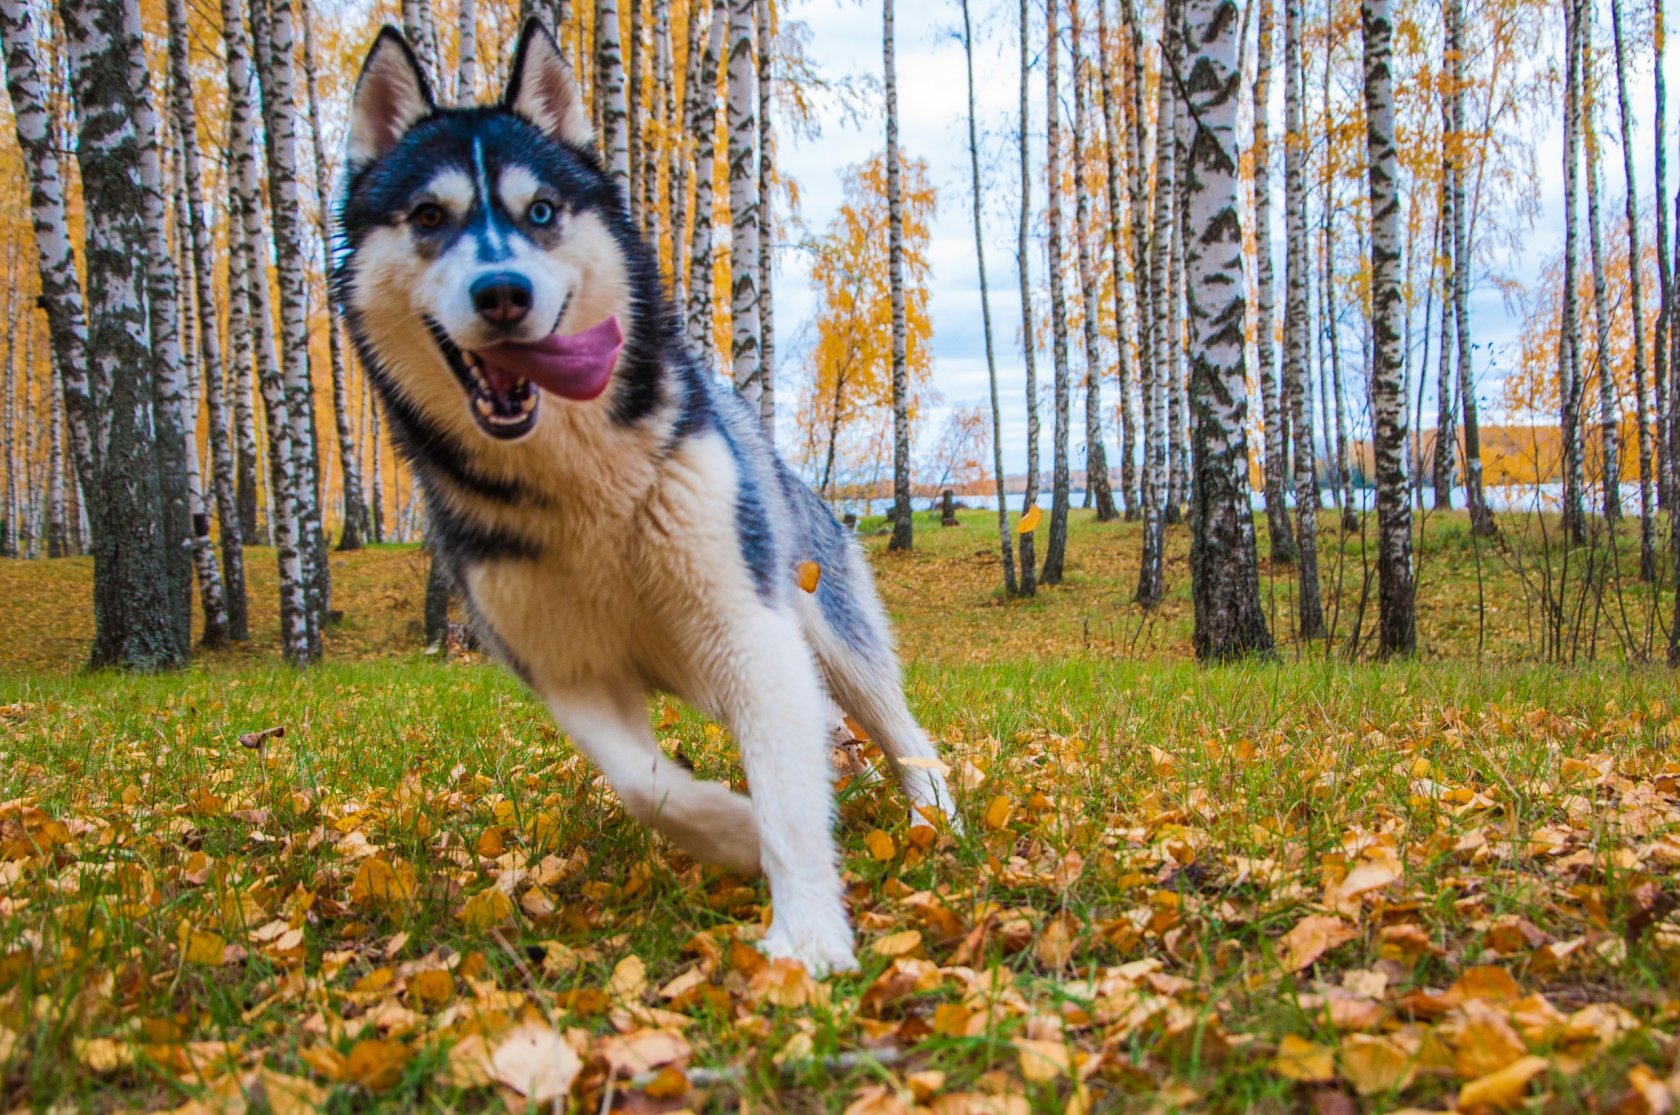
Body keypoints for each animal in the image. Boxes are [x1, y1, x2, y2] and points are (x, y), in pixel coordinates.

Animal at [337, 21, 960, 973]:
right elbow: (644, 783)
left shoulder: (750, 624)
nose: (503, 292)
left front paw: (808, 939)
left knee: (899, 727)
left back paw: (935, 816)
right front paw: (735, 832)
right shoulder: (565, 668)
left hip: (832, 626)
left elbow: (789, 790)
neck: (583, 486)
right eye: (430, 217)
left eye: (541, 212)